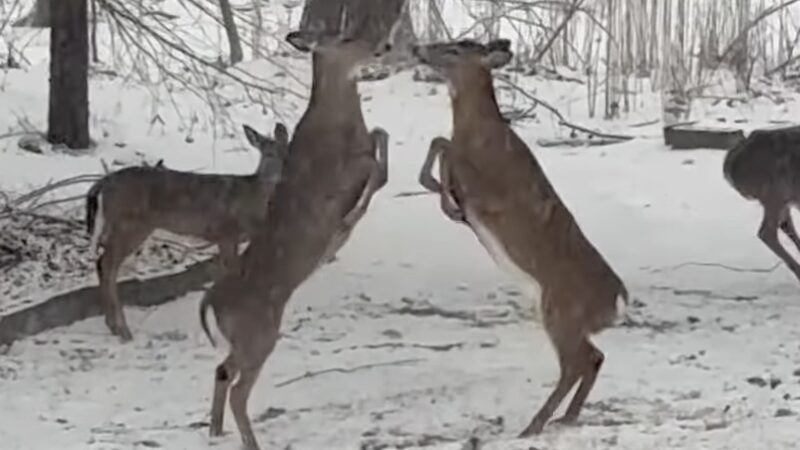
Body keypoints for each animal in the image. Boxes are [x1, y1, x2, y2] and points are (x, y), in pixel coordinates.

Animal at [86, 123, 290, 342]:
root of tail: (101, 184)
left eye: (287, 150)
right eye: (268, 153)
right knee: (107, 264)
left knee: (102, 263)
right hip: (131, 225)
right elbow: (234, 272)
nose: (281, 173)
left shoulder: (226, 238)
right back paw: (123, 330)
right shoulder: (227, 232)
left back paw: (114, 327)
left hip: (114, 225)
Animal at [198, 12, 404, 448]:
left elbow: (380, 137)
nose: (384, 46)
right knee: (239, 388)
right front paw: (346, 222)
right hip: (259, 333)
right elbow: (376, 168)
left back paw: (215, 429)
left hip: (247, 338)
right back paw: (249, 440)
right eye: (345, 37)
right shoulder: (338, 174)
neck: (338, 122)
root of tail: (211, 301)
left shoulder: (361, 150)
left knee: (222, 371)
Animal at [412, 40, 632, 438]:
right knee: (594, 357)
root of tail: (618, 301)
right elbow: (443, 143)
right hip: (563, 316)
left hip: (560, 311)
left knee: (578, 362)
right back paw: (564, 418)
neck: (481, 134)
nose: (417, 47)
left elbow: (444, 144)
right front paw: (441, 191)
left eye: (454, 48)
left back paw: (534, 425)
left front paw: (445, 198)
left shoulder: (492, 194)